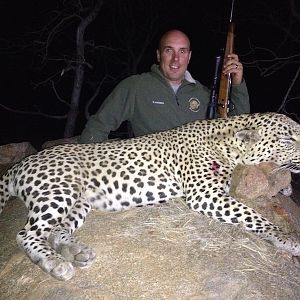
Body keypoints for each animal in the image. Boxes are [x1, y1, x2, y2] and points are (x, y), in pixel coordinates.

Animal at [0, 112, 298, 282]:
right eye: (287, 140)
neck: (227, 143)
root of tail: (21, 164)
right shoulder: (203, 193)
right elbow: (251, 214)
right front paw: (287, 239)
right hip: (59, 191)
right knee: (26, 234)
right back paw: (55, 263)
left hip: (80, 201)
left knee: (55, 230)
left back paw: (75, 251)